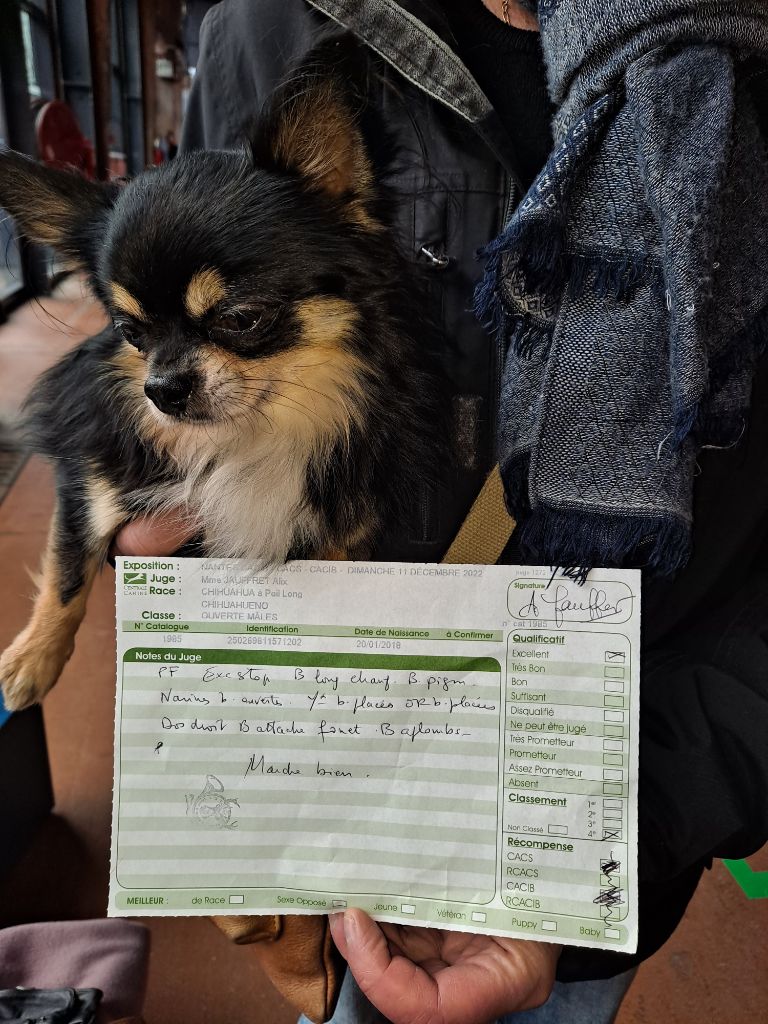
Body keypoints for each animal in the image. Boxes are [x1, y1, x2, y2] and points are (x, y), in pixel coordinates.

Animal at [0, 38, 443, 712]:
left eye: (240, 318)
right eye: (132, 332)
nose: (161, 390)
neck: (247, 437)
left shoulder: (341, 531)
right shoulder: (92, 476)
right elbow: (69, 563)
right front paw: (33, 657)